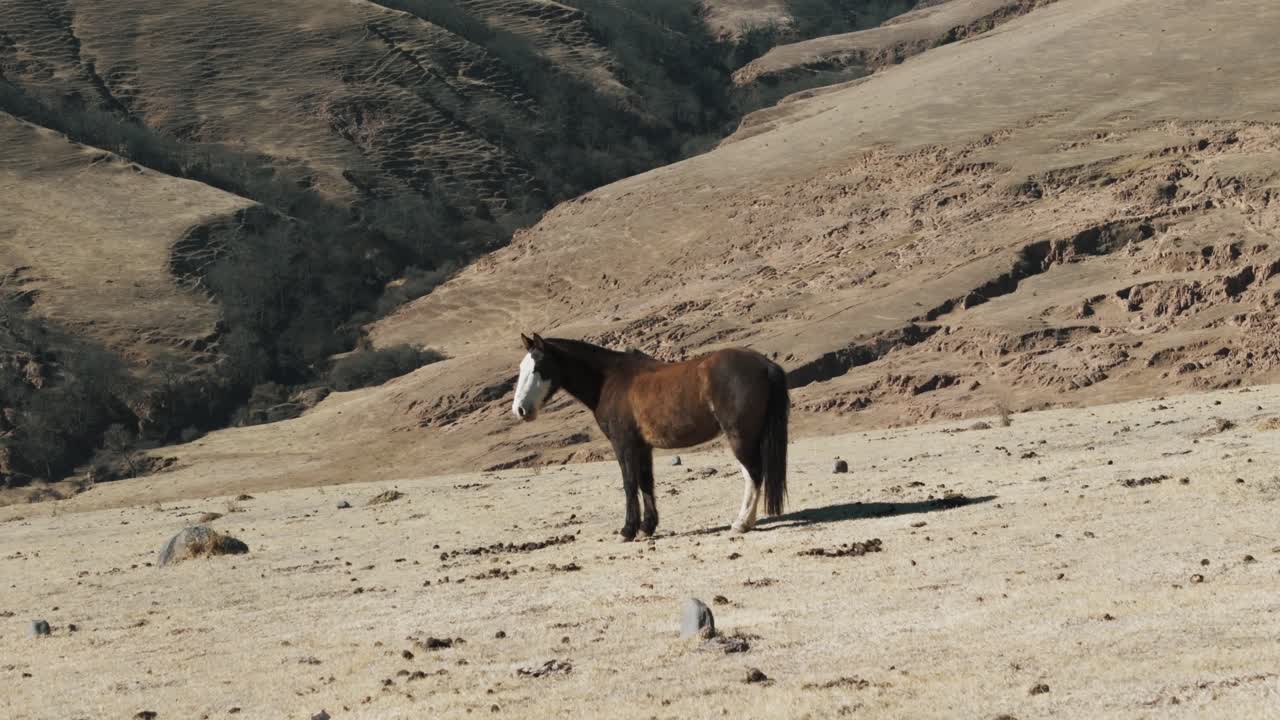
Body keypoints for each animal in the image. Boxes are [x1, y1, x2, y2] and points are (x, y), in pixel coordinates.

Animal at [511, 333, 789, 541]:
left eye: (538, 368)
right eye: (521, 368)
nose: (520, 410)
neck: (609, 380)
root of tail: (764, 364)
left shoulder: (623, 444)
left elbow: (629, 483)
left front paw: (627, 531)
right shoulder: (642, 447)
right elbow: (646, 482)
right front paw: (647, 528)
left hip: (740, 437)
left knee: (753, 474)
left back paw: (741, 524)